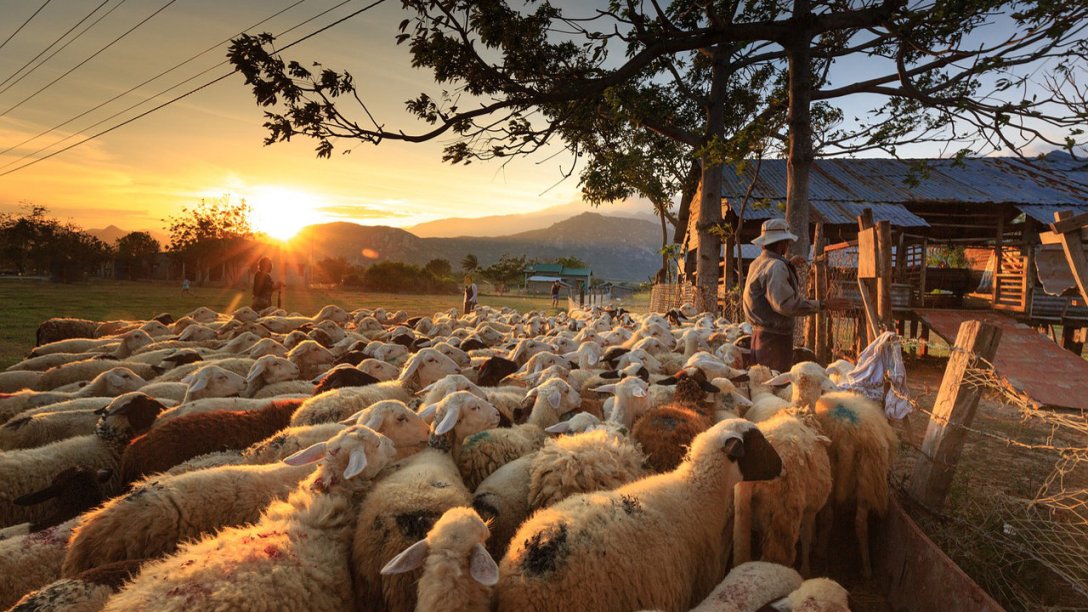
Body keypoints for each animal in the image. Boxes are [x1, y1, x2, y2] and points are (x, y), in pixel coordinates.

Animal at [733, 412, 832, 577]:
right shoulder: (811, 507)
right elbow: (805, 535)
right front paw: (806, 570)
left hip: (750, 511)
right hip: (783, 514)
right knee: (777, 556)